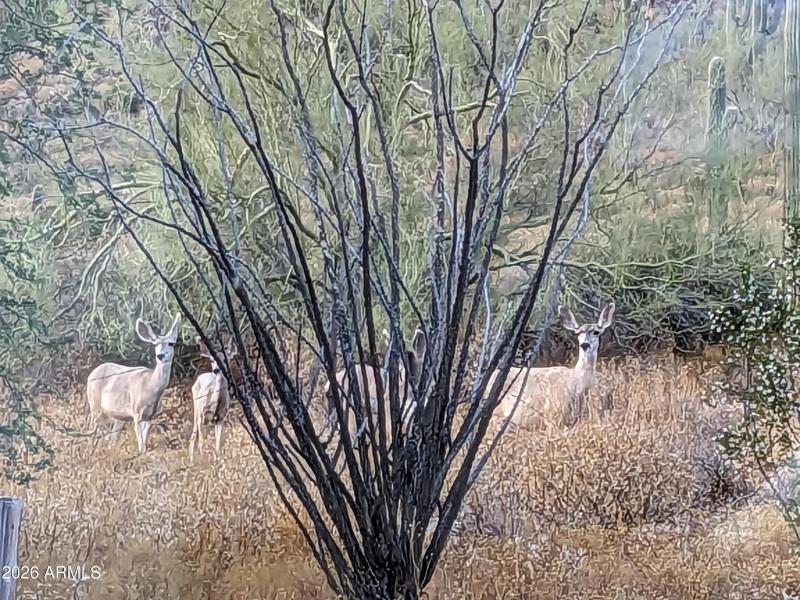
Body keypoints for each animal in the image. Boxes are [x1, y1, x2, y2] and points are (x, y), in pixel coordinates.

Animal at [86, 313, 182, 454]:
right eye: (155, 344)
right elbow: (141, 445)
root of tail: (91, 374)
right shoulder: (136, 412)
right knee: (93, 430)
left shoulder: (150, 415)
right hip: (95, 404)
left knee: (111, 438)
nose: (160, 356)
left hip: (117, 416)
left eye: (171, 343)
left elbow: (144, 443)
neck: (152, 386)